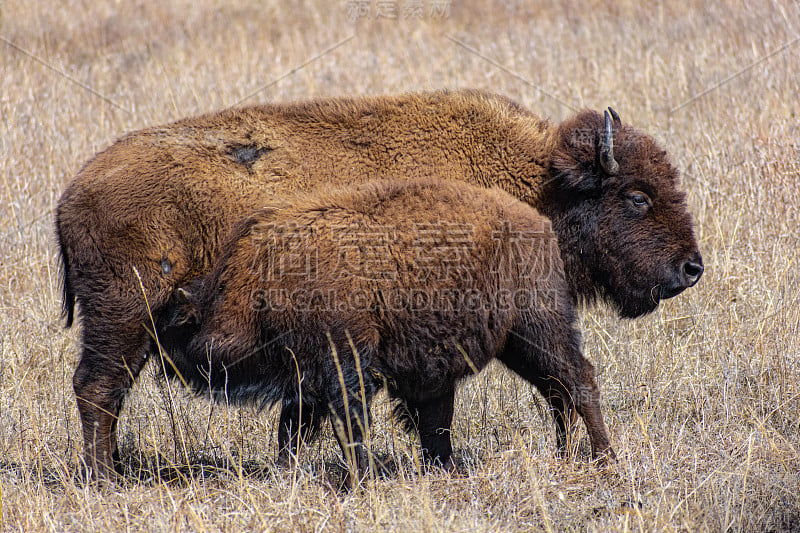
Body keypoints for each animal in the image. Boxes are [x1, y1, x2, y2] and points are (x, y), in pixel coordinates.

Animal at [158, 178, 612, 478]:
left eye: (179, 324)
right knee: (556, 391)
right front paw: (287, 473)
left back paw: (603, 457)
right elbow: (292, 432)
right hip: (518, 346)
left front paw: (361, 478)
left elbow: (348, 426)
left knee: (577, 379)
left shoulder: (344, 368)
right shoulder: (305, 381)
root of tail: (537, 224)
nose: (163, 362)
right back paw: (564, 456)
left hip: (538, 329)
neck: (260, 283)